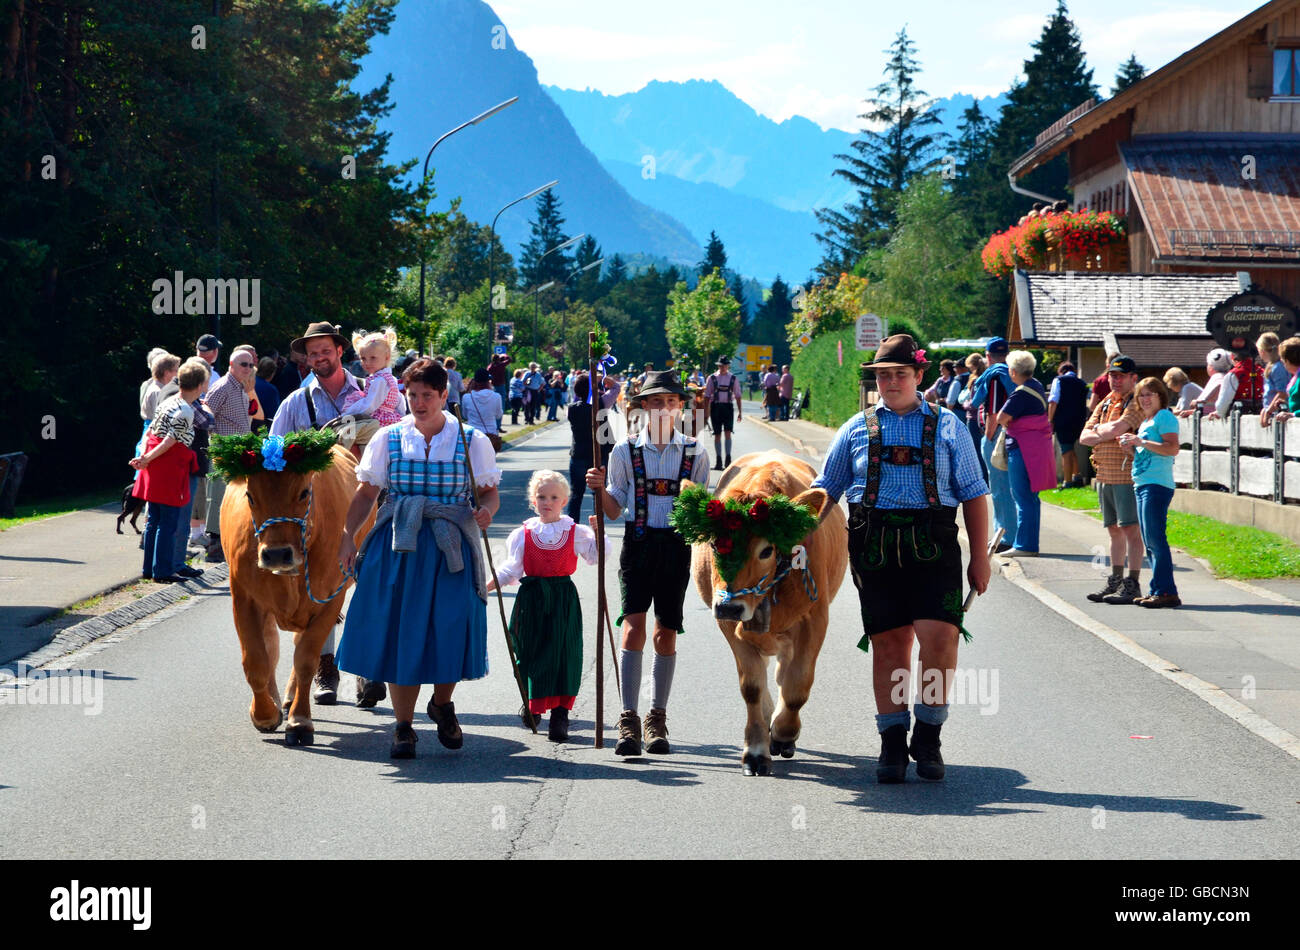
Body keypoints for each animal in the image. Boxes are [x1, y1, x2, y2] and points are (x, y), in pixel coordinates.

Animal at [211, 426, 377, 748]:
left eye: (303, 492)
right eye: (250, 496)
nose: (276, 554)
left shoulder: (328, 601)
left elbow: (306, 660)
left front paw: (299, 721)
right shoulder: (244, 597)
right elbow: (256, 660)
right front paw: (264, 714)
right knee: (272, 647)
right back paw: (277, 702)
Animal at [676, 452, 847, 774]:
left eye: (766, 551)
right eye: (714, 544)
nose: (729, 605)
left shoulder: (815, 621)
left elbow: (797, 685)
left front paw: (783, 733)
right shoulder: (730, 627)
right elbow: (752, 687)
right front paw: (756, 750)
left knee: (784, 673)